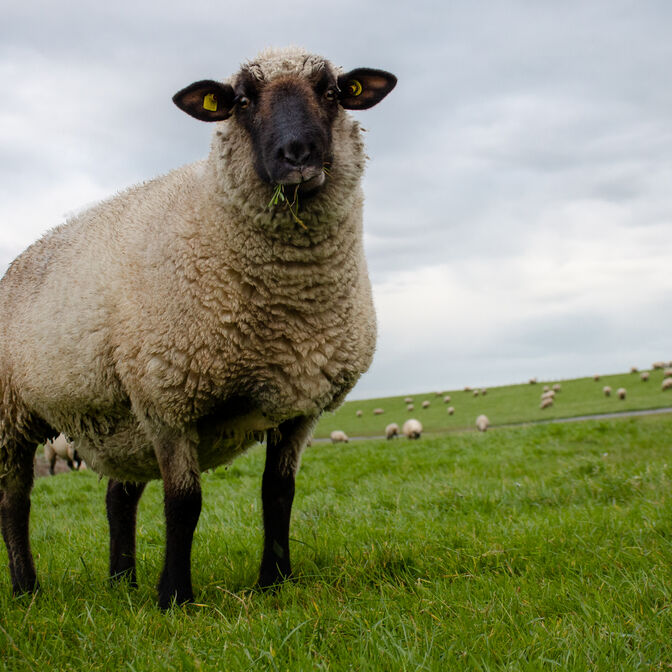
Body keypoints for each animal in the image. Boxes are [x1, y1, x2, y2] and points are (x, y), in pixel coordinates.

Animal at [0, 46, 397, 609]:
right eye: (242, 101)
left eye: (332, 92)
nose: (297, 155)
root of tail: (16, 262)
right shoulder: (167, 398)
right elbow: (183, 503)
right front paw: (175, 598)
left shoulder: (301, 405)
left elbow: (278, 493)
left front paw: (274, 582)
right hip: (14, 413)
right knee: (15, 502)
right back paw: (26, 589)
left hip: (122, 422)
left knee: (118, 496)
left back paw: (122, 582)